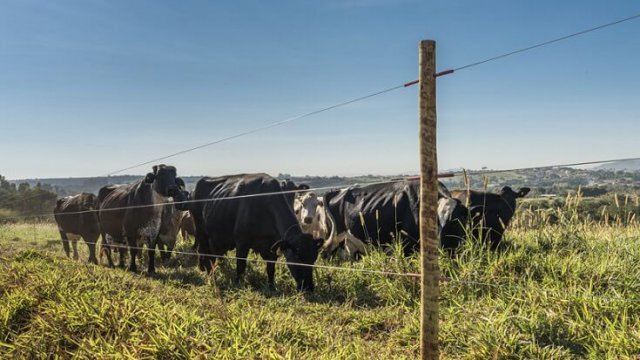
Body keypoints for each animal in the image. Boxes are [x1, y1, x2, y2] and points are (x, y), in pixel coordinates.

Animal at [189, 173, 320, 292]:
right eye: (298, 257)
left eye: (313, 259)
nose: (309, 287)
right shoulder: (242, 242)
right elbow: (241, 266)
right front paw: (238, 285)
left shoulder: (271, 246)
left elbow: (271, 269)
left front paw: (271, 287)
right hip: (201, 231)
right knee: (204, 253)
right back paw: (209, 275)